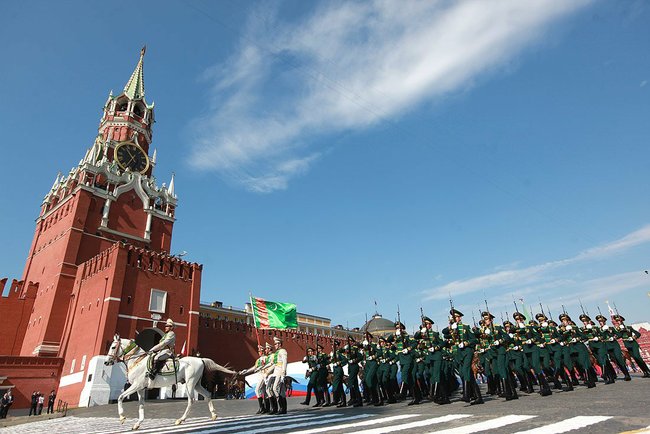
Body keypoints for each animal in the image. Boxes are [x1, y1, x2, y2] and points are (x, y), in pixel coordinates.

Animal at [105, 332, 237, 430]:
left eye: (113, 347)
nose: (106, 362)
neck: (137, 361)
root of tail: (200, 359)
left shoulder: (136, 386)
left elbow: (120, 397)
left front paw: (122, 417)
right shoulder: (140, 388)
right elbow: (141, 405)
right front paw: (138, 424)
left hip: (190, 383)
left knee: (191, 400)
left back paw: (181, 419)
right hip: (197, 384)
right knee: (208, 394)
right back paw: (213, 415)